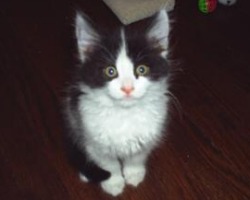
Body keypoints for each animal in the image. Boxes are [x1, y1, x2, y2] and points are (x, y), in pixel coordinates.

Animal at [64, 9, 171, 197]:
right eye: (110, 71)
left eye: (141, 69)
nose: (127, 88)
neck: (124, 114)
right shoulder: (93, 138)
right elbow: (108, 164)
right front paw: (113, 182)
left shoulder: (147, 135)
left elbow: (137, 156)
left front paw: (134, 173)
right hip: (73, 117)